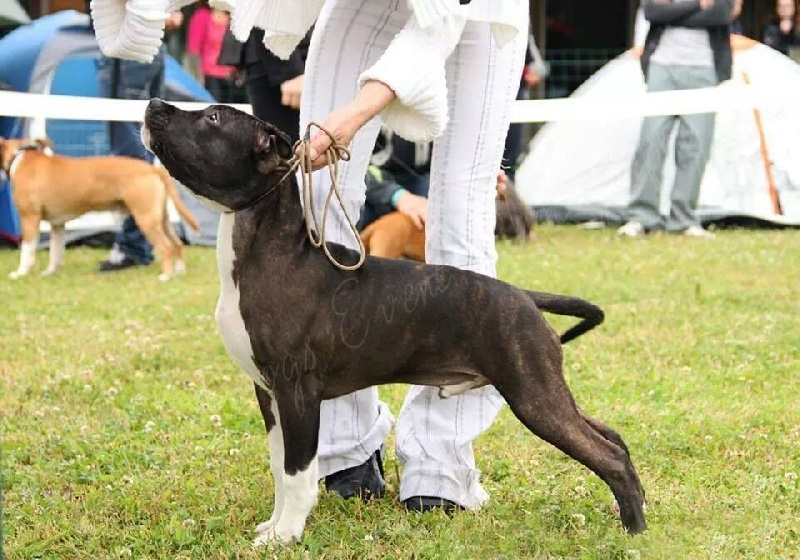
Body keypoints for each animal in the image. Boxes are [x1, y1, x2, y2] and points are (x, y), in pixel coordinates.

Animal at [0, 136, 199, 280]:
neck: (18, 157)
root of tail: (152, 169)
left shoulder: (29, 218)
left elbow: (27, 250)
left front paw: (20, 273)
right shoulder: (58, 225)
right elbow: (55, 252)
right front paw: (50, 272)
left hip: (146, 218)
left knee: (166, 247)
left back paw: (166, 276)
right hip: (160, 218)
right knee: (177, 243)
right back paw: (179, 272)